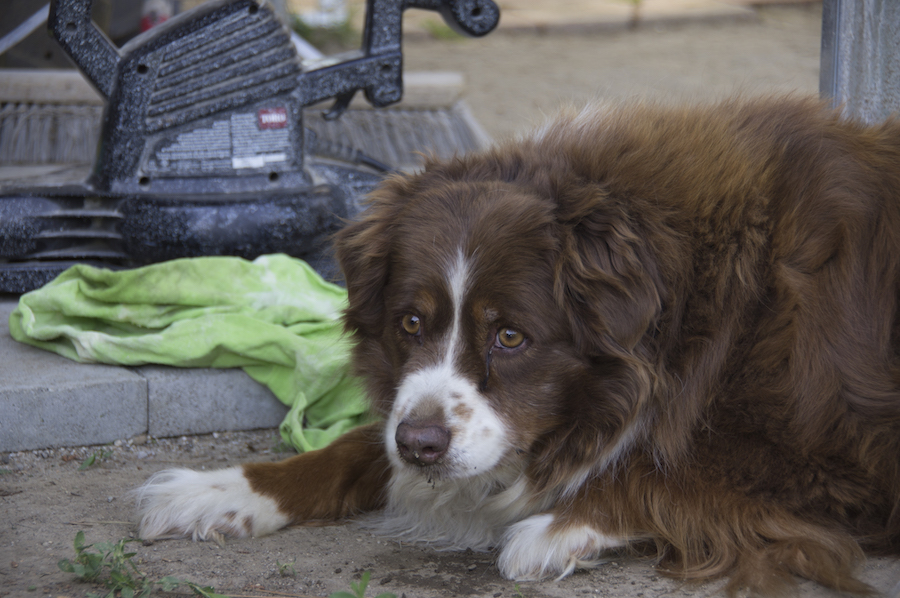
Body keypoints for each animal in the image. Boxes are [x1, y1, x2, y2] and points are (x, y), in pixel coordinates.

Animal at [135, 97, 900, 596]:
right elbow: (358, 446)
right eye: (410, 324)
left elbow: (663, 471)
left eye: (510, 336)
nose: (421, 445)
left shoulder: (842, 461)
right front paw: (219, 490)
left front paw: (557, 528)